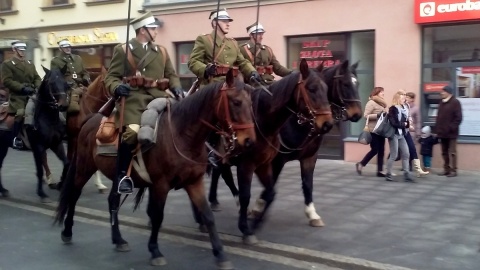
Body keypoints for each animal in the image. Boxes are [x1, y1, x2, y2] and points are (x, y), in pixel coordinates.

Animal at [0, 67, 69, 201]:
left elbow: (66, 163)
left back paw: (3, 191)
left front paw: (60, 185)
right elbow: (40, 170)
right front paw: (41, 193)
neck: (48, 119)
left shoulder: (56, 144)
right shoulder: (38, 147)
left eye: (65, 83)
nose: (63, 105)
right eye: (51, 83)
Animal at [54, 70, 256, 270]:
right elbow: (157, 216)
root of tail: (90, 120)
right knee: (74, 195)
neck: (182, 134)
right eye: (236, 102)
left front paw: (220, 253)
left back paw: (118, 240)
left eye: (251, 103)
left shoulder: (193, 182)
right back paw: (67, 231)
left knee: (112, 201)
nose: (249, 141)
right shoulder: (160, 185)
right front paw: (155, 250)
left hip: (117, 176)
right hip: (84, 168)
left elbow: (207, 215)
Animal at [196, 58, 334, 244]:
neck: (264, 121)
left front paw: (256, 222)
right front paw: (246, 227)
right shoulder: (249, 165)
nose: (328, 124)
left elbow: (273, 192)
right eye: (311, 89)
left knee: (222, 175)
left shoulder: (271, 163)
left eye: (326, 89)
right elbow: (247, 195)